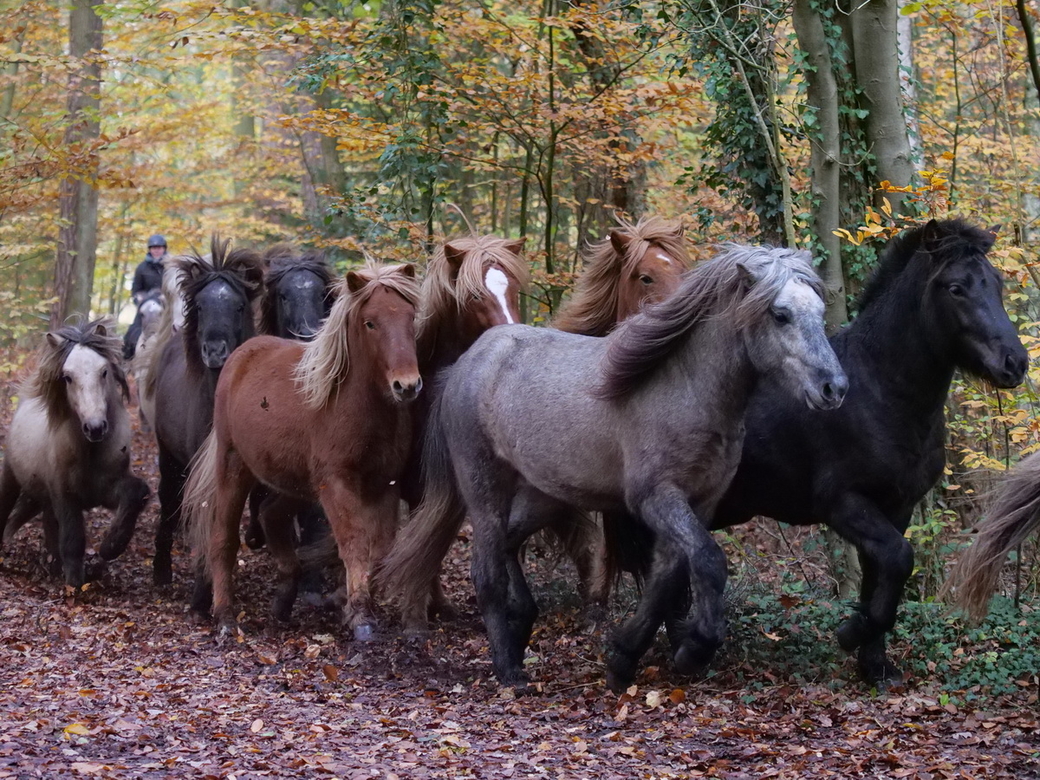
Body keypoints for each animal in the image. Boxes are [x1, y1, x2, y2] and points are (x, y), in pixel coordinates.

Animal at [184, 264, 422, 640]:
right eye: (370, 323)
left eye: (410, 317)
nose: (407, 385)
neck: (356, 405)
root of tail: (240, 357)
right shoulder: (336, 483)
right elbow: (354, 542)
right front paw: (361, 617)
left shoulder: (386, 484)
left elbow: (382, 548)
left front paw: (353, 603)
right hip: (234, 466)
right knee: (223, 537)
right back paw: (224, 617)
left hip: (295, 482)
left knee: (271, 514)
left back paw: (283, 602)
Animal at [378, 244, 848, 690]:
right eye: (780, 314)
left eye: (819, 311)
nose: (834, 388)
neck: (685, 390)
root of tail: (467, 364)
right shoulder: (656, 498)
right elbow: (707, 562)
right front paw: (696, 648)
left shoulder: (699, 503)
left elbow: (667, 580)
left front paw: (623, 659)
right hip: (484, 488)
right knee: (487, 572)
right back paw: (509, 668)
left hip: (543, 495)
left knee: (510, 543)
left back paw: (522, 624)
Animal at [707, 217, 1023, 686]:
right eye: (955, 288)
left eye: (997, 283)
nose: (1015, 362)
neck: (878, 393)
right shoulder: (843, 503)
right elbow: (898, 560)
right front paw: (851, 634)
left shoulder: (897, 507)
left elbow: (880, 578)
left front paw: (875, 666)